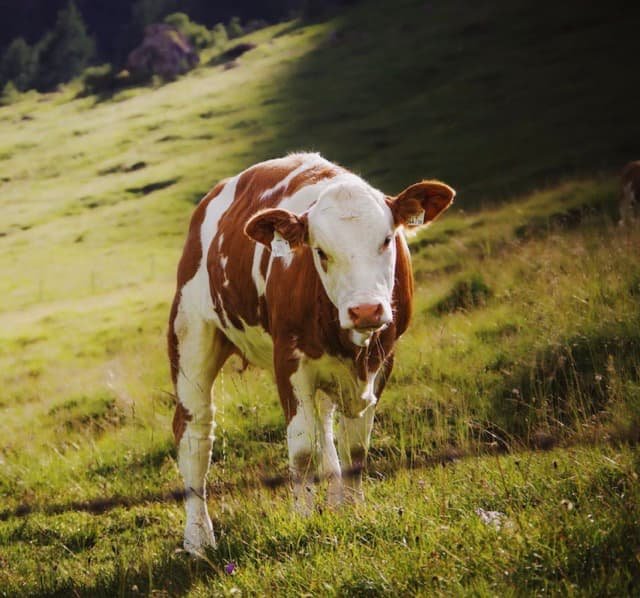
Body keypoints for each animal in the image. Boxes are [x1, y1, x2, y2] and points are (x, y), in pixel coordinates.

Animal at [168, 153, 455, 554]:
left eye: (387, 240)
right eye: (320, 252)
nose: (365, 310)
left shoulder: (382, 360)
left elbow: (355, 448)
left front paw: (352, 509)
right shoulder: (289, 360)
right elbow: (302, 448)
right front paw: (302, 518)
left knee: (325, 425)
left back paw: (334, 499)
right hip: (190, 334)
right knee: (195, 432)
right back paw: (198, 537)